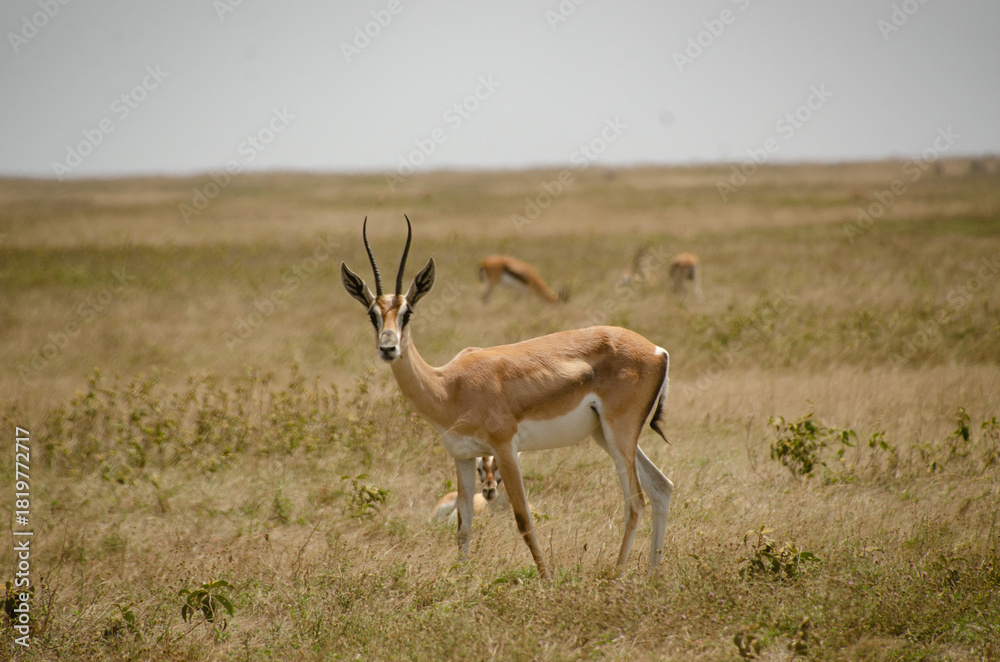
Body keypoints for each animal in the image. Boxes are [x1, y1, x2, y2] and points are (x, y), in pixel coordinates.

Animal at [341, 216, 674, 578]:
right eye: (372, 314)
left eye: (408, 312)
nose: (388, 348)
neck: (449, 387)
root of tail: (658, 350)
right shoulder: (462, 457)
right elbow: (464, 526)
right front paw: (460, 580)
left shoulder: (505, 449)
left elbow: (523, 520)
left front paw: (546, 580)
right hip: (606, 436)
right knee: (661, 488)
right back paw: (653, 573)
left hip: (619, 435)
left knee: (636, 500)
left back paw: (616, 575)